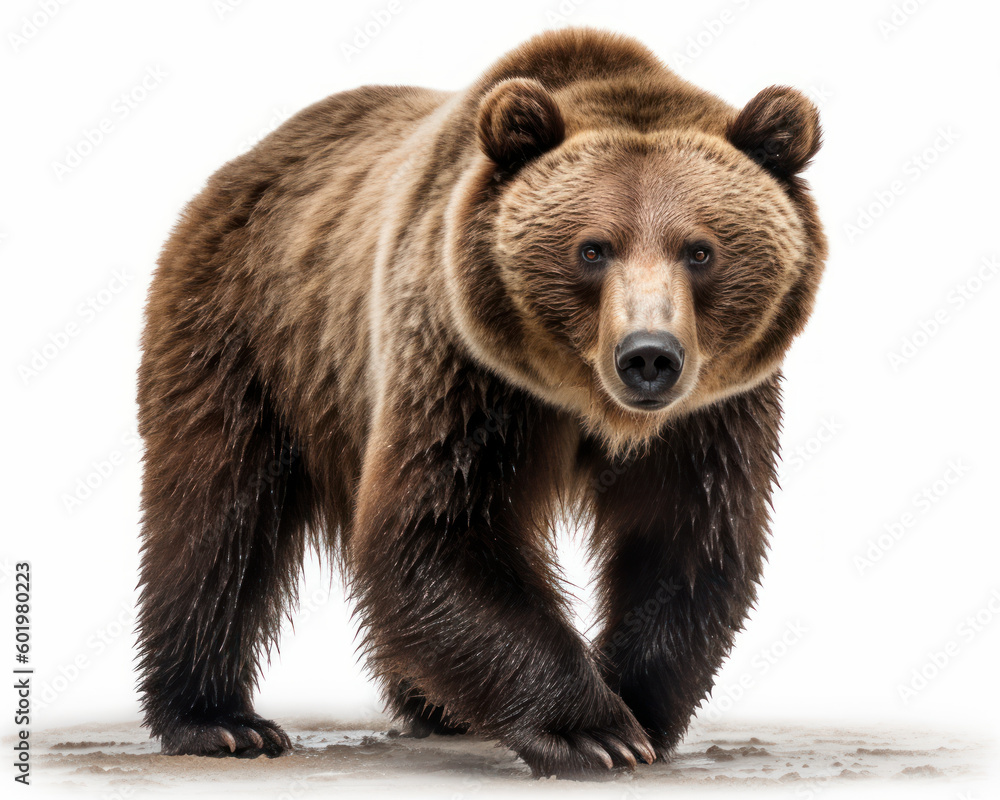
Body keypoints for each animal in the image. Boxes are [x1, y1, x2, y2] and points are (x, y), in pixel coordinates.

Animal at [134, 27, 826, 778]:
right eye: (592, 249)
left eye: (700, 251)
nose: (648, 356)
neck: (585, 403)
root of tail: (245, 162)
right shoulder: (464, 368)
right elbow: (441, 532)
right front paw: (592, 731)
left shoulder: (711, 410)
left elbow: (686, 539)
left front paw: (637, 708)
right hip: (251, 334)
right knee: (216, 514)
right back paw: (221, 721)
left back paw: (437, 708)